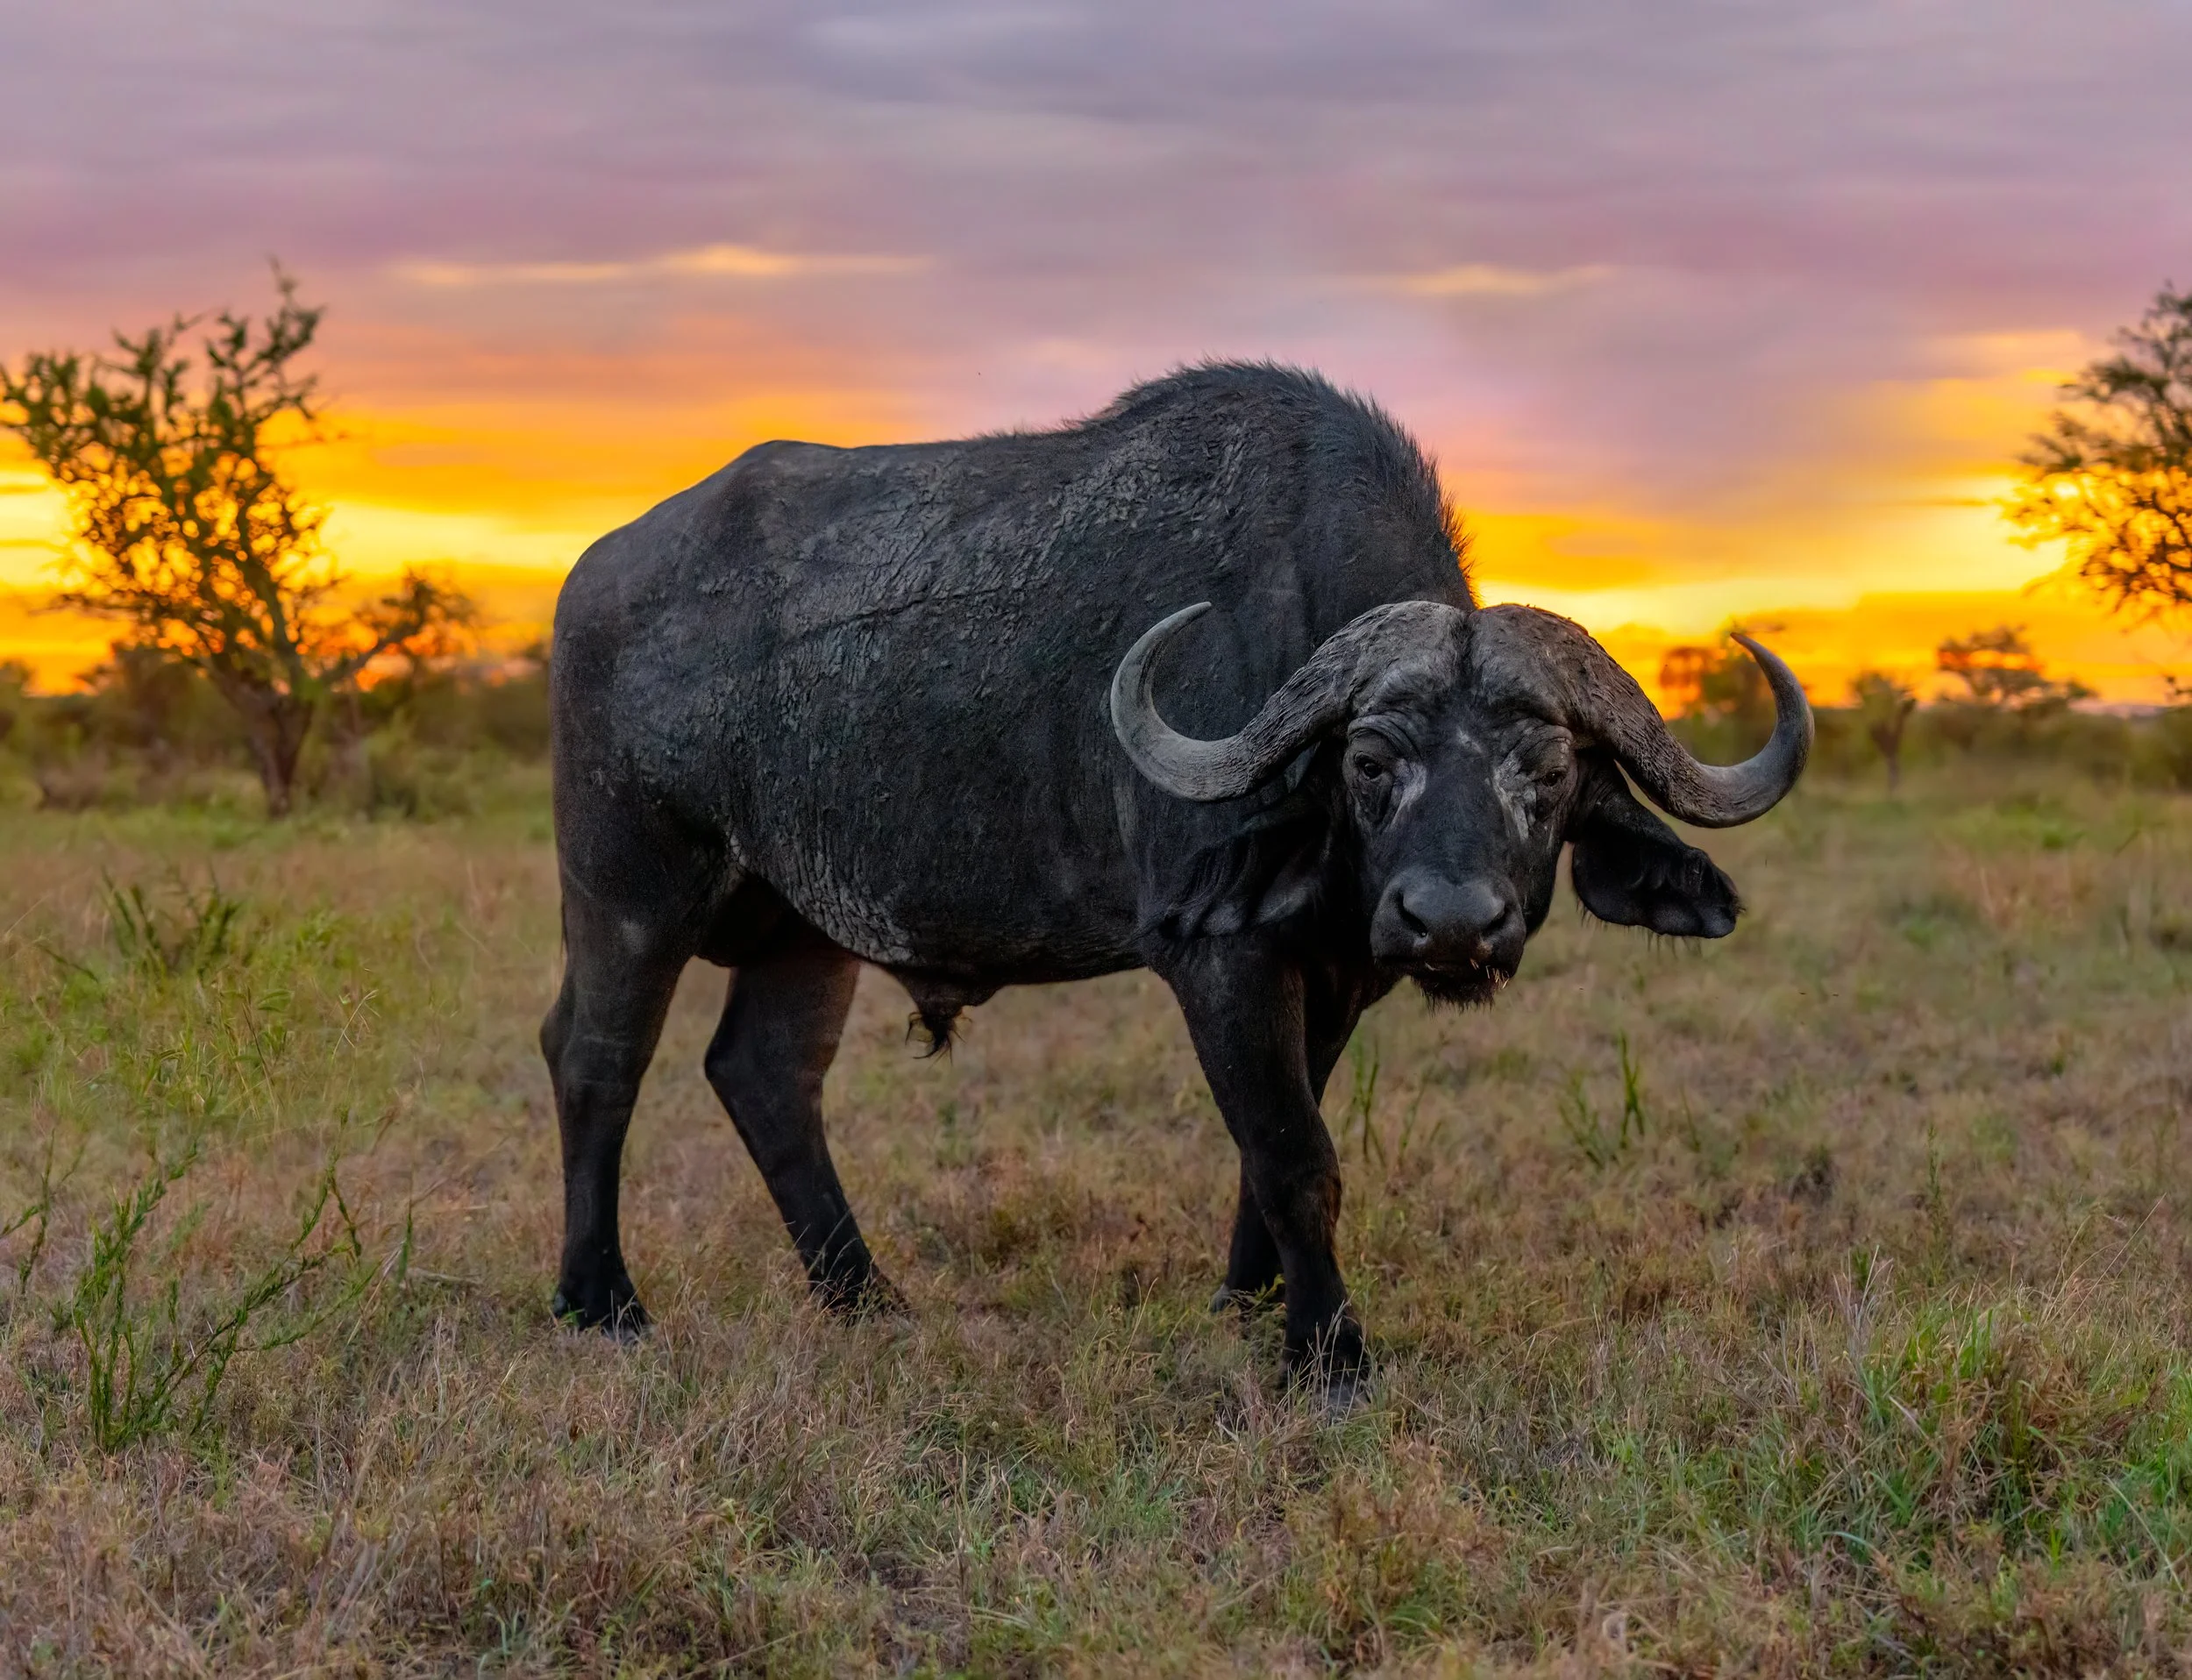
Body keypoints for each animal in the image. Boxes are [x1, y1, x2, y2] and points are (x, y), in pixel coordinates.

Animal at [542, 363, 1810, 1393]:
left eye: (1546, 770)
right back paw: (602, 1304)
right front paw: (1331, 1356)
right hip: (629, 893)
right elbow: (1296, 1153)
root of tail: (593, 576)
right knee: (595, 1059)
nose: (1450, 922)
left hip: (806, 928)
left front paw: (1250, 1310)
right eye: (1368, 761)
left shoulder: (1337, 975)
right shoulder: (1222, 959)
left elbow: (1272, 1151)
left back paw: (868, 1298)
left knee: (765, 1074)